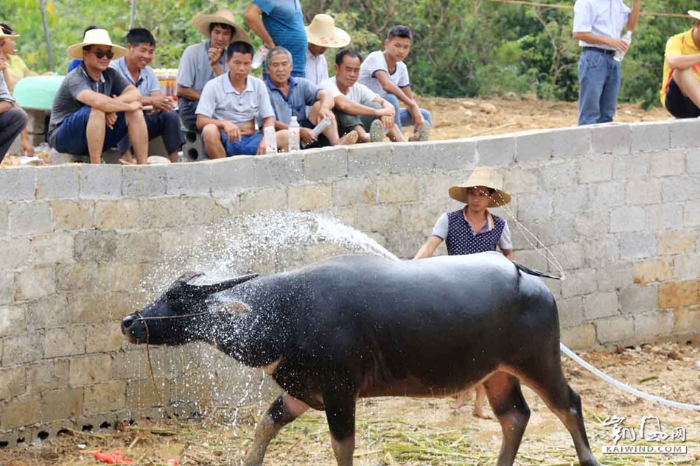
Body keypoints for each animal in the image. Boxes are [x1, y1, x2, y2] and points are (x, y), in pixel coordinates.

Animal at [121, 253, 600, 464]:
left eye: (178, 297)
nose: (129, 321)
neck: (286, 312)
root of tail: (523, 274)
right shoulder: (301, 392)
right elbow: (265, 425)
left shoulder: (339, 392)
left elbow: (342, 446)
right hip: (498, 372)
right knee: (515, 417)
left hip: (538, 362)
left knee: (568, 405)